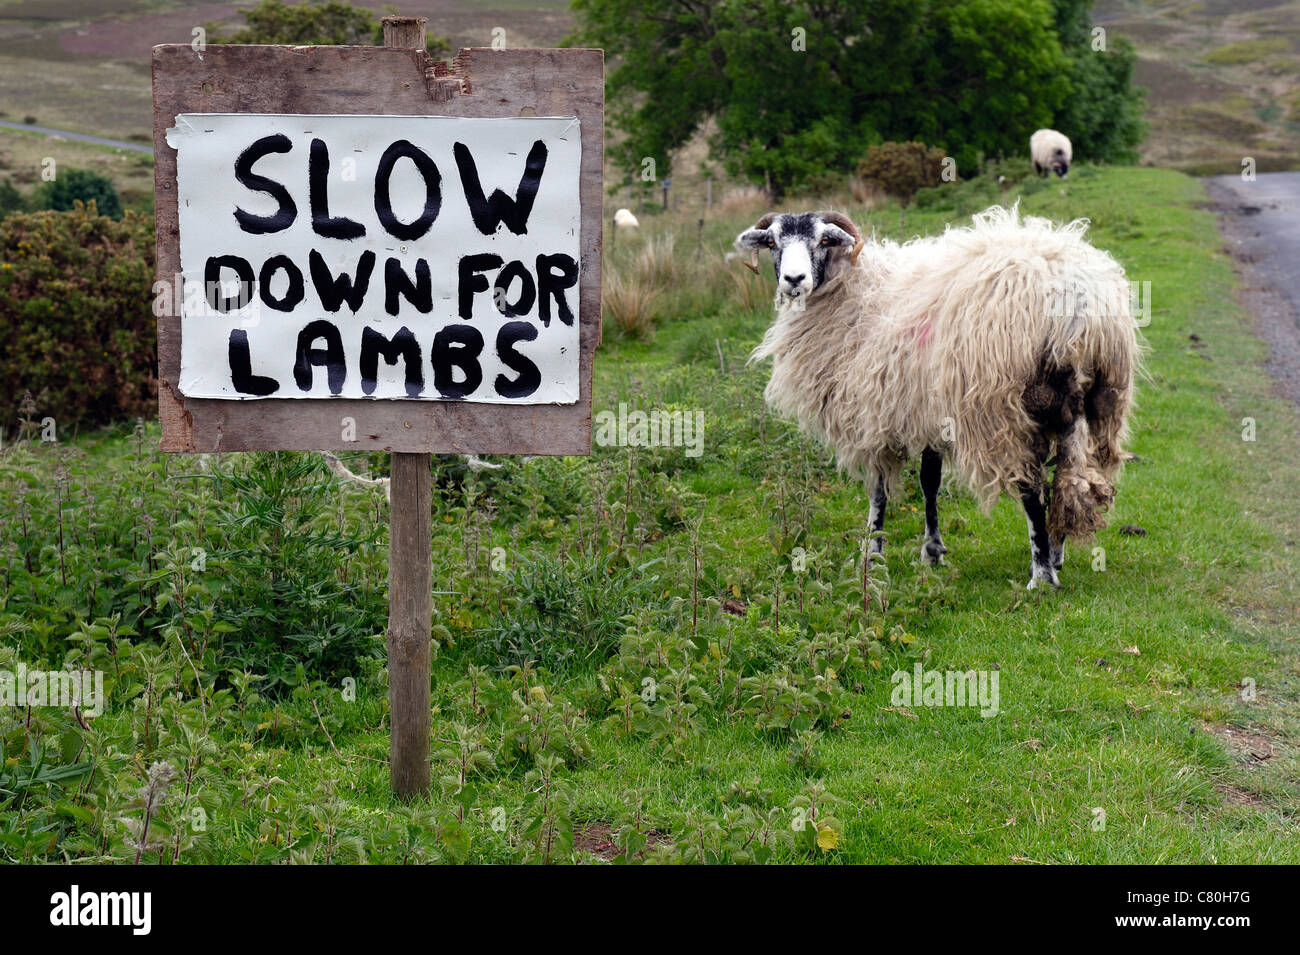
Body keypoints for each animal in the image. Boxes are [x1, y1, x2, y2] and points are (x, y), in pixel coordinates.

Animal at [738, 205, 1144, 587]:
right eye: (772, 242)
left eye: (823, 240)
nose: (794, 280)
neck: (856, 291)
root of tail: (1076, 303)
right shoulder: (925, 411)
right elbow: (929, 481)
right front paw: (932, 551)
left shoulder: (874, 415)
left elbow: (879, 491)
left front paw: (872, 553)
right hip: (1090, 402)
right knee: (1071, 480)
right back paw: (1057, 554)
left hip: (1001, 410)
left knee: (1030, 488)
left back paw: (1041, 574)